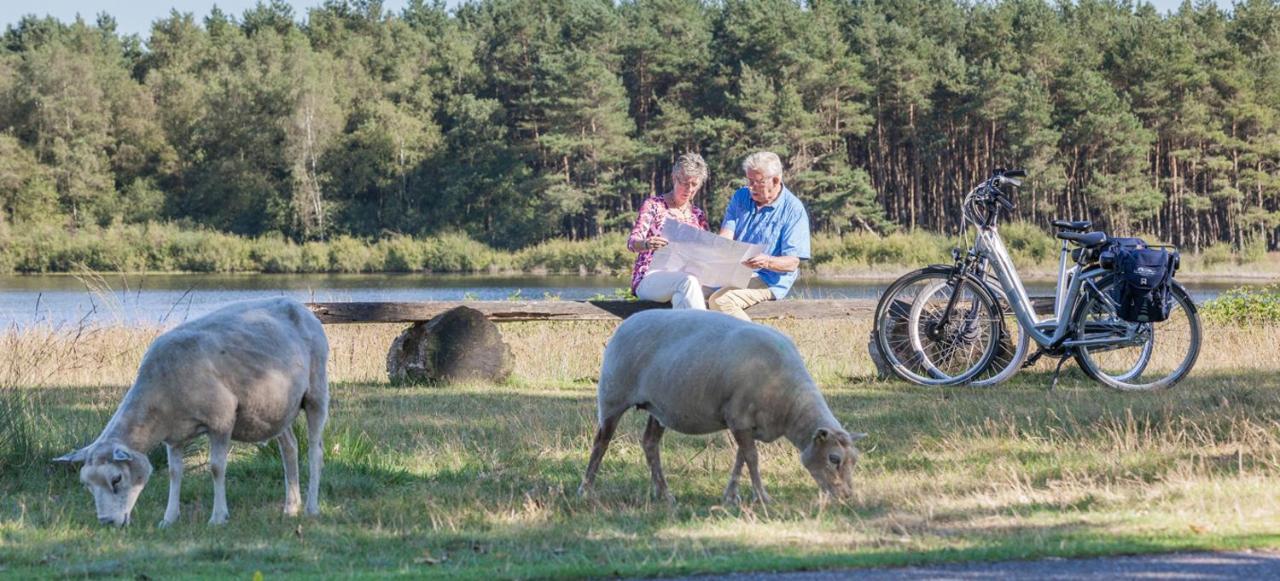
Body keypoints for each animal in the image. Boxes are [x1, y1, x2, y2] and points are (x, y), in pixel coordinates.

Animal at [51, 296, 330, 529]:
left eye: (117, 479)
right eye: (87, 485)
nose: (107, 522)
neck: (160, 391)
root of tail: (301, 306)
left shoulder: (221, 419)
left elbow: (216, 468)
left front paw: (218, 517)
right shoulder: (174, 436)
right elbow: (175, 472)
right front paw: (169, 518)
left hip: (316, 392)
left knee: (315, 451)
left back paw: (311, 508)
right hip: (277, 409)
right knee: (290, 449)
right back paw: (290, 507)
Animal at [583, 308, 870, 504]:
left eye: (854, 460)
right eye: (834, 458)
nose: (848, 497)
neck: (790, 401)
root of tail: (628, 322)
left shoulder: (748, 424)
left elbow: (741, 458)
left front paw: (731, 496)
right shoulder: (738, 416)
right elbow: (752, 458)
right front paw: (762, 496)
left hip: (657, 406)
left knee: (650, 444)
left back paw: (664, 494)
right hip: (613, 396)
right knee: (601, 443)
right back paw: (586, 489)